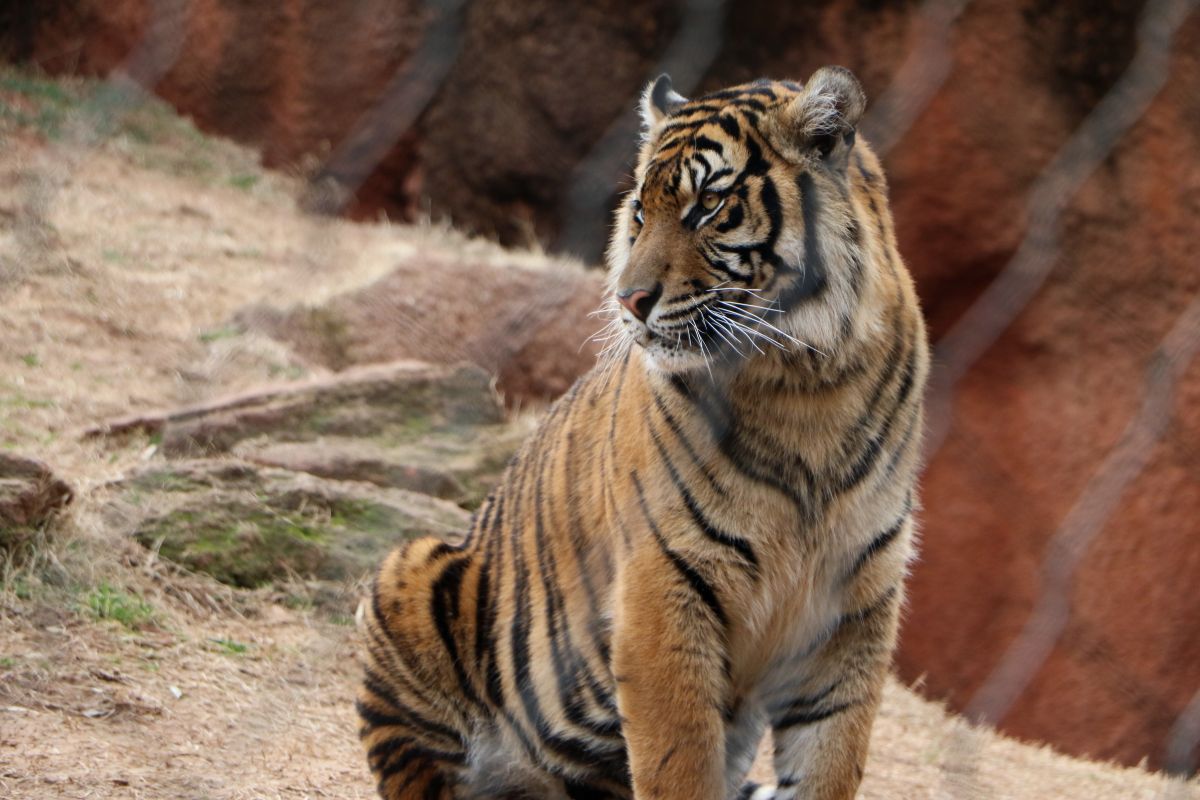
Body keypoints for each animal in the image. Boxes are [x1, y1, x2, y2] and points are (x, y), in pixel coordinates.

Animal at [356, 65, 929, 800]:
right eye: (638, 213)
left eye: (708, 206)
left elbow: (830, 764)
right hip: (410, 573)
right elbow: (680, 763)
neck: (806, 384)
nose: (628, 300)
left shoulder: (854, 608)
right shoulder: (665, 581)